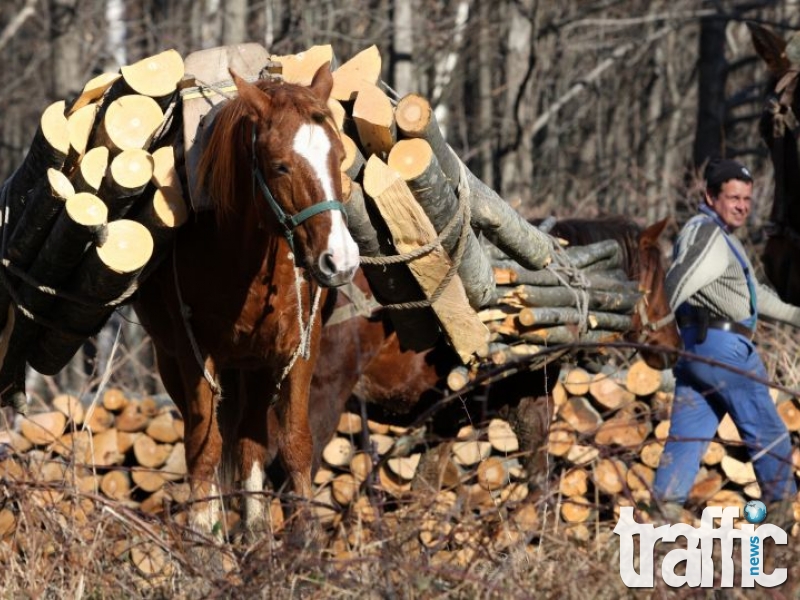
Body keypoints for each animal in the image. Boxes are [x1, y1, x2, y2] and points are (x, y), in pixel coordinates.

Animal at [134, 65, 360, 540]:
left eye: (339, 157)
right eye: (280, 166)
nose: (341, 260)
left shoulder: (297, 352)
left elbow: (294, 445)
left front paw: (304, 542)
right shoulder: (194, 358)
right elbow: (202, 450)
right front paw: (206, 543)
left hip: (254, 369)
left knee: (250, 440)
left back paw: (257, 535)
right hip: (176, 364)